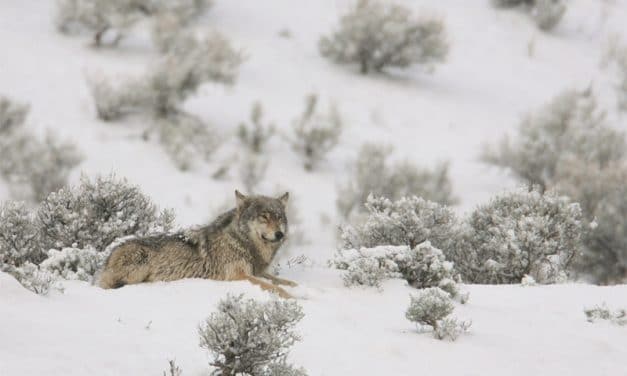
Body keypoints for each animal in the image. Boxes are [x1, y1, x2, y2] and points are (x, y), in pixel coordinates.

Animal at [100, 192, 300, 298]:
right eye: (264, 217)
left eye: (279, 217)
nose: (280, 234)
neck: (241, 242)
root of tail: (108, 258)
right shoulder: (238, 276)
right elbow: (276, 287)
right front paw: (296, 297)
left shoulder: (257, 272)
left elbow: (285, 282)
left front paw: (300, 289)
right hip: (140, 263)